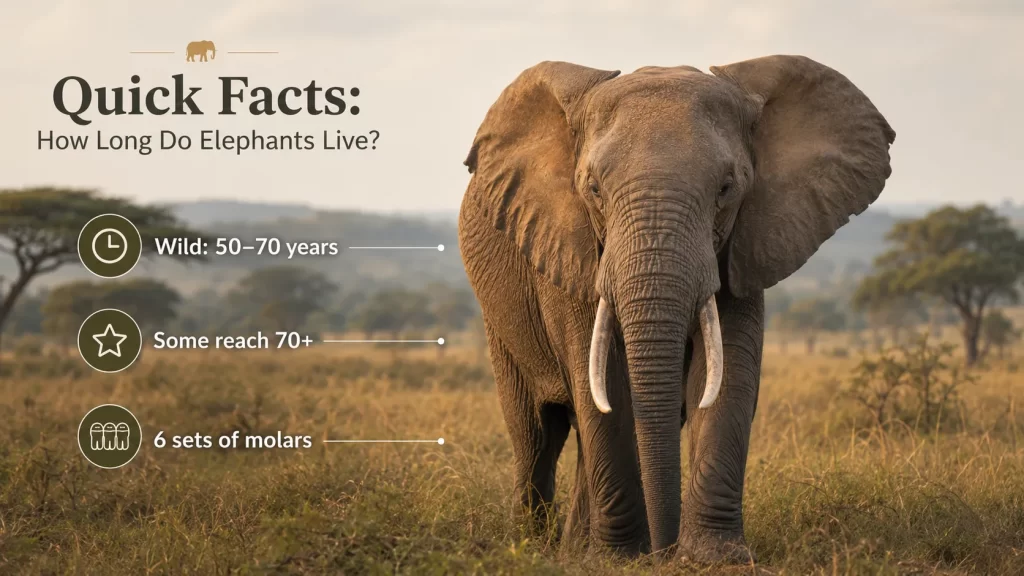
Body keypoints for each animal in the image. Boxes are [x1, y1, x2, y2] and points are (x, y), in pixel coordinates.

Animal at [457, 55, 894, 563]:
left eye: (726, 188)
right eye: (593, 189)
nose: (663, 552)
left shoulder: (744, 245)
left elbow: (725, 379)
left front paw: (715, 557)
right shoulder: (569, 249)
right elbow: (602, 387)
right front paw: (618, 558)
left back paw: (576, 547)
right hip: (499, 320)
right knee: (536, 434)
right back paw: (533, 546)